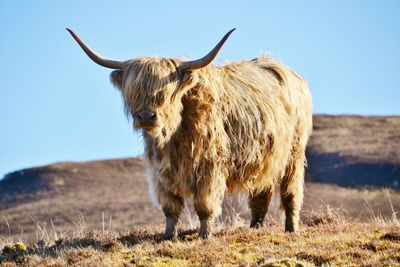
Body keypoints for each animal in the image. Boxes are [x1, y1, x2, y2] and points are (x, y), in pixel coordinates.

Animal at [68, 28, 312, 240]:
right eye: (134, 91)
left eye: (164, 93)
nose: (146, 117)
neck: (175, 135)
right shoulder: (162, 171)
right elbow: (170, 208)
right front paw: (168, 237)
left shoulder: (210, 167)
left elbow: (204, 206)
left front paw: (204, 236)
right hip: (266, 157)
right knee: (261, 194)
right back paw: (255, 229)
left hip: (294, 154)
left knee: (291, 193)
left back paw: (291, 229)